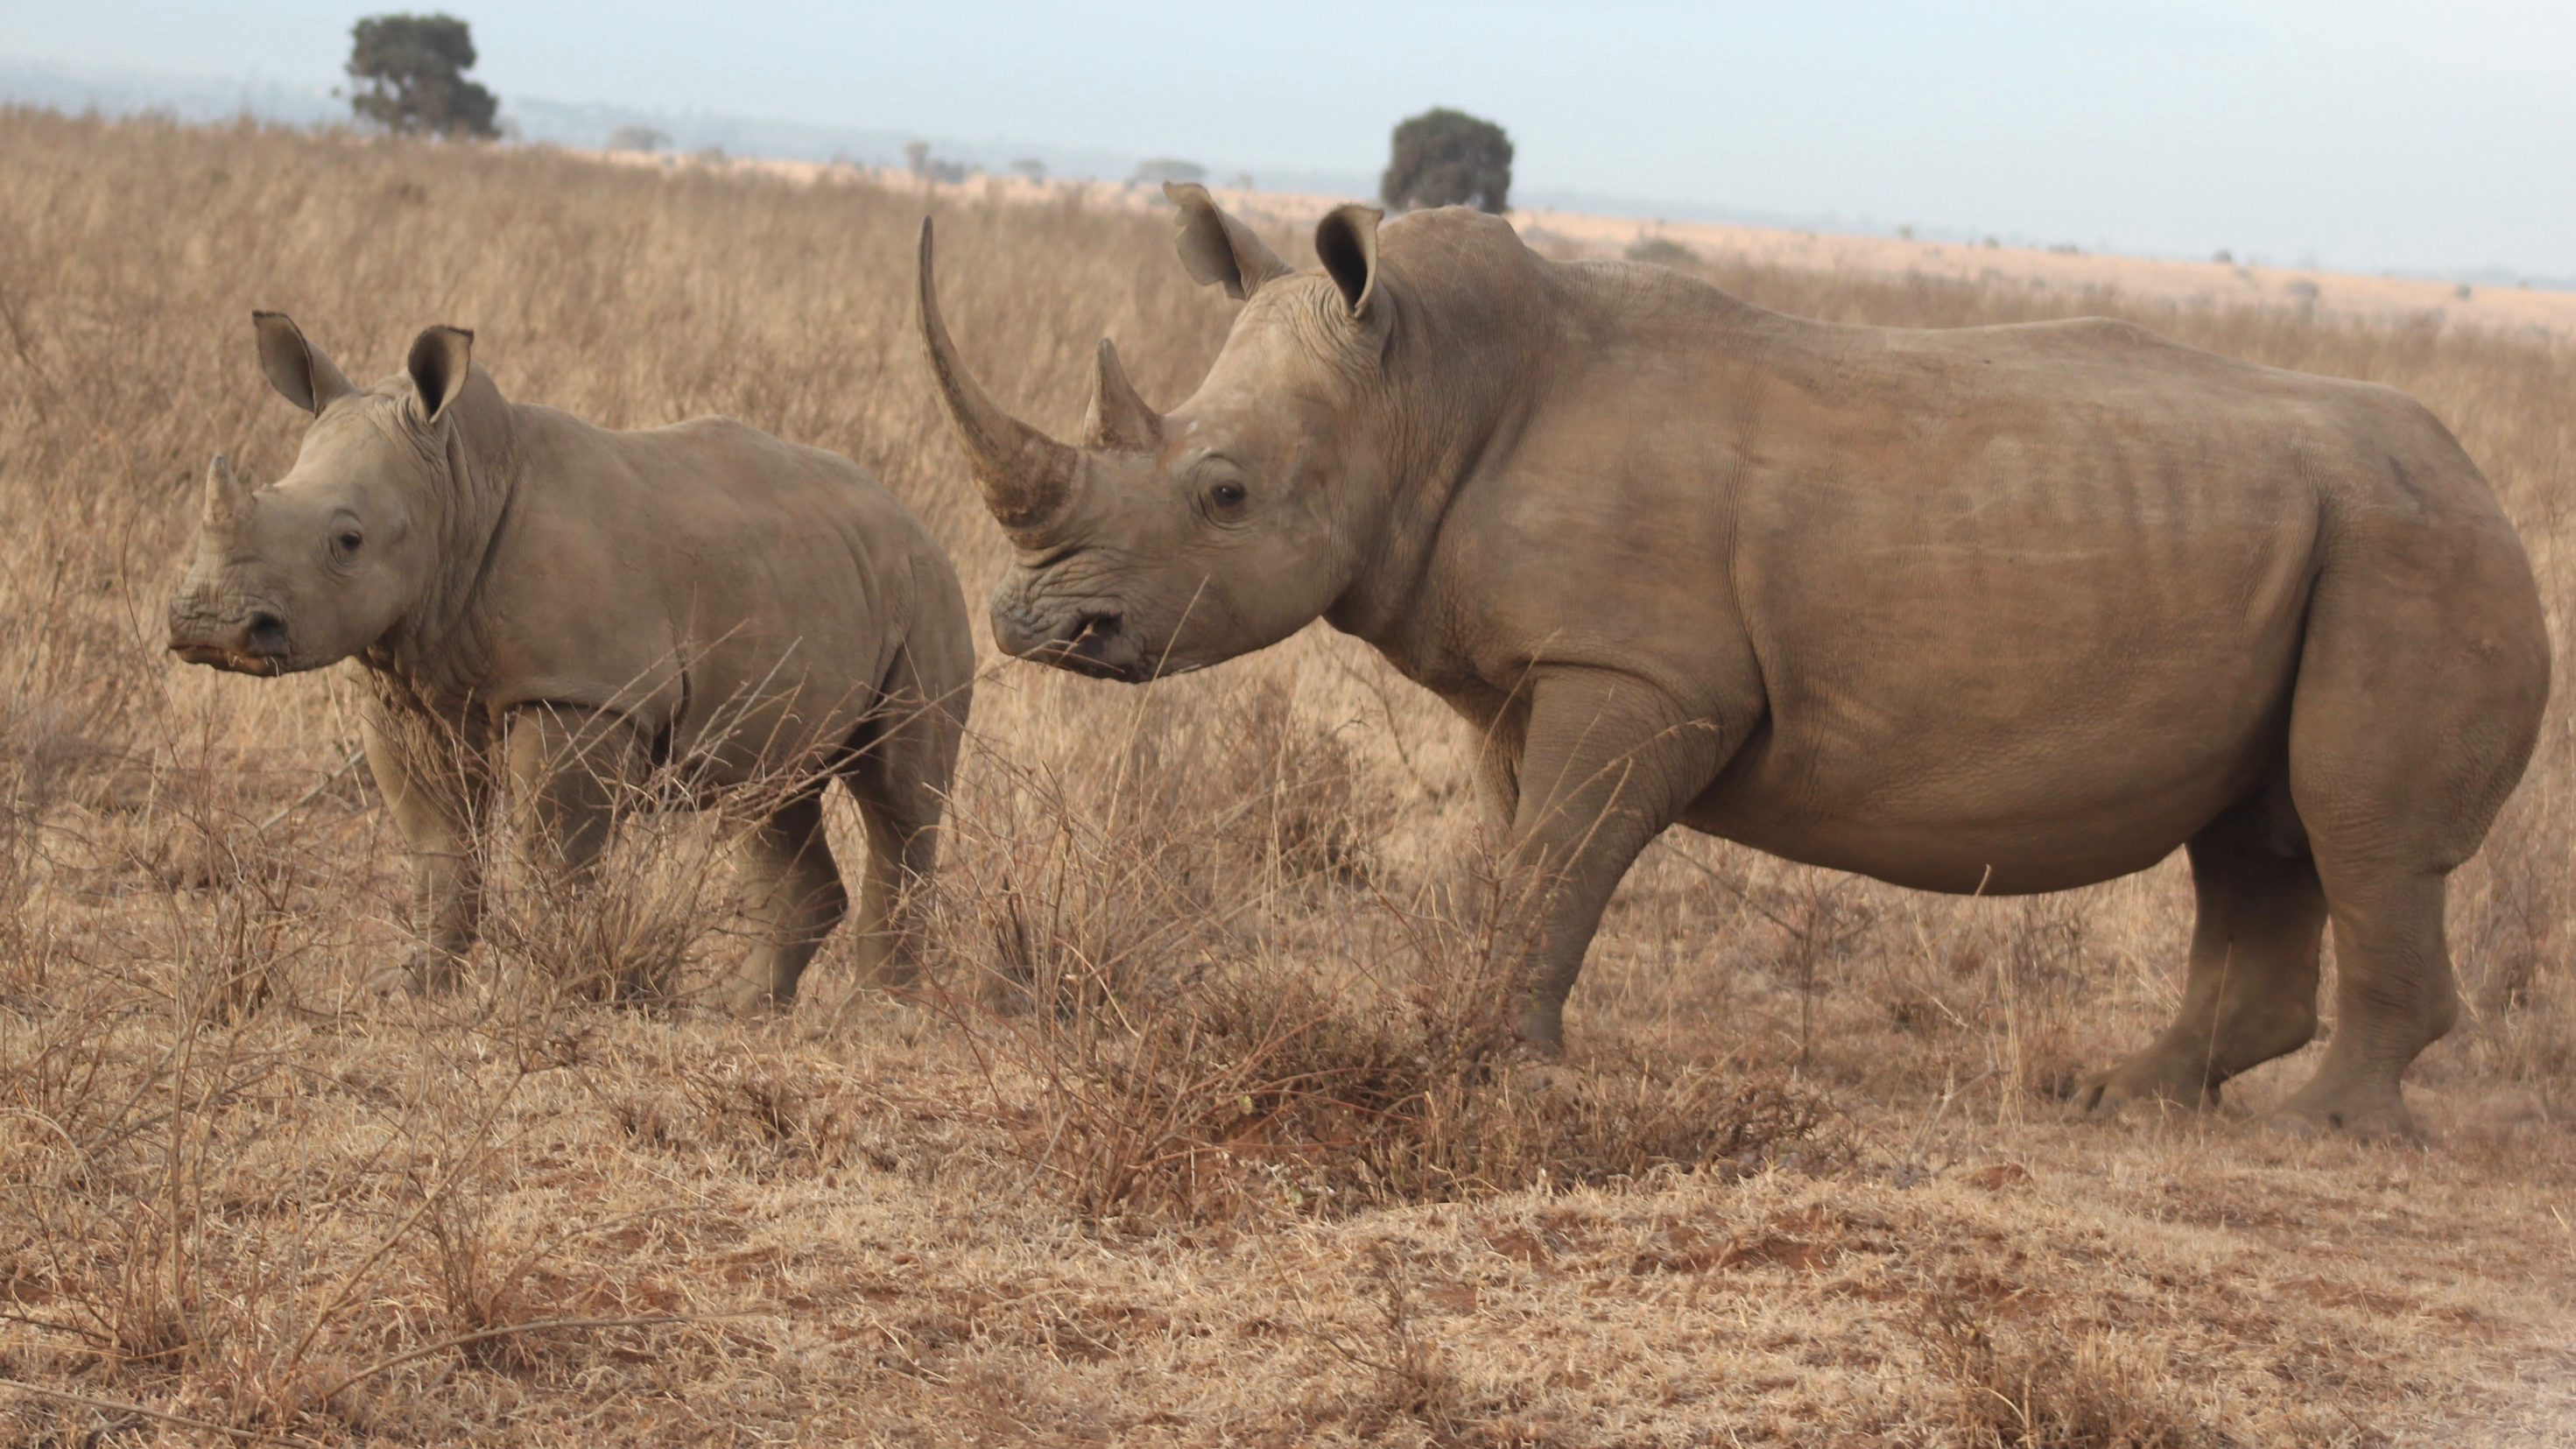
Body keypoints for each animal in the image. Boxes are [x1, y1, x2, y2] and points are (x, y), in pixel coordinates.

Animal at [169, 313, 973, 1007]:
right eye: (269, 491)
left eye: (348, 540)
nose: (210, 624)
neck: (456, 485)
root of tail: (911, 516)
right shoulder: (412, 692)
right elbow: (438, 851)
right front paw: (410, 988)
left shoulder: (579, 693)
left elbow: (551, 852)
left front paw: (540, 986)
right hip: (811, 578)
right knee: (765, 793)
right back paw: (739, 1009)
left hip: (927, 590)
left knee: (898, 794)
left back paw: (874, 1013)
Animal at [916, 187, 2550, 1139]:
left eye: (1225, 494)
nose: (1034, 628)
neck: (1424, 382)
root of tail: (2485, 483)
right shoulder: (1534, 670)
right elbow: (1530, 857)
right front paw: (1495, 1031)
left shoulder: (1644, 674)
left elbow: (1562, 854)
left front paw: (1497, 1061)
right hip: (2336, 540)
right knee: (2257, 840)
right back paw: (2116, 1099)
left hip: (2416, 556)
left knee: (2357, 832)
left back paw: (2319, 1132)